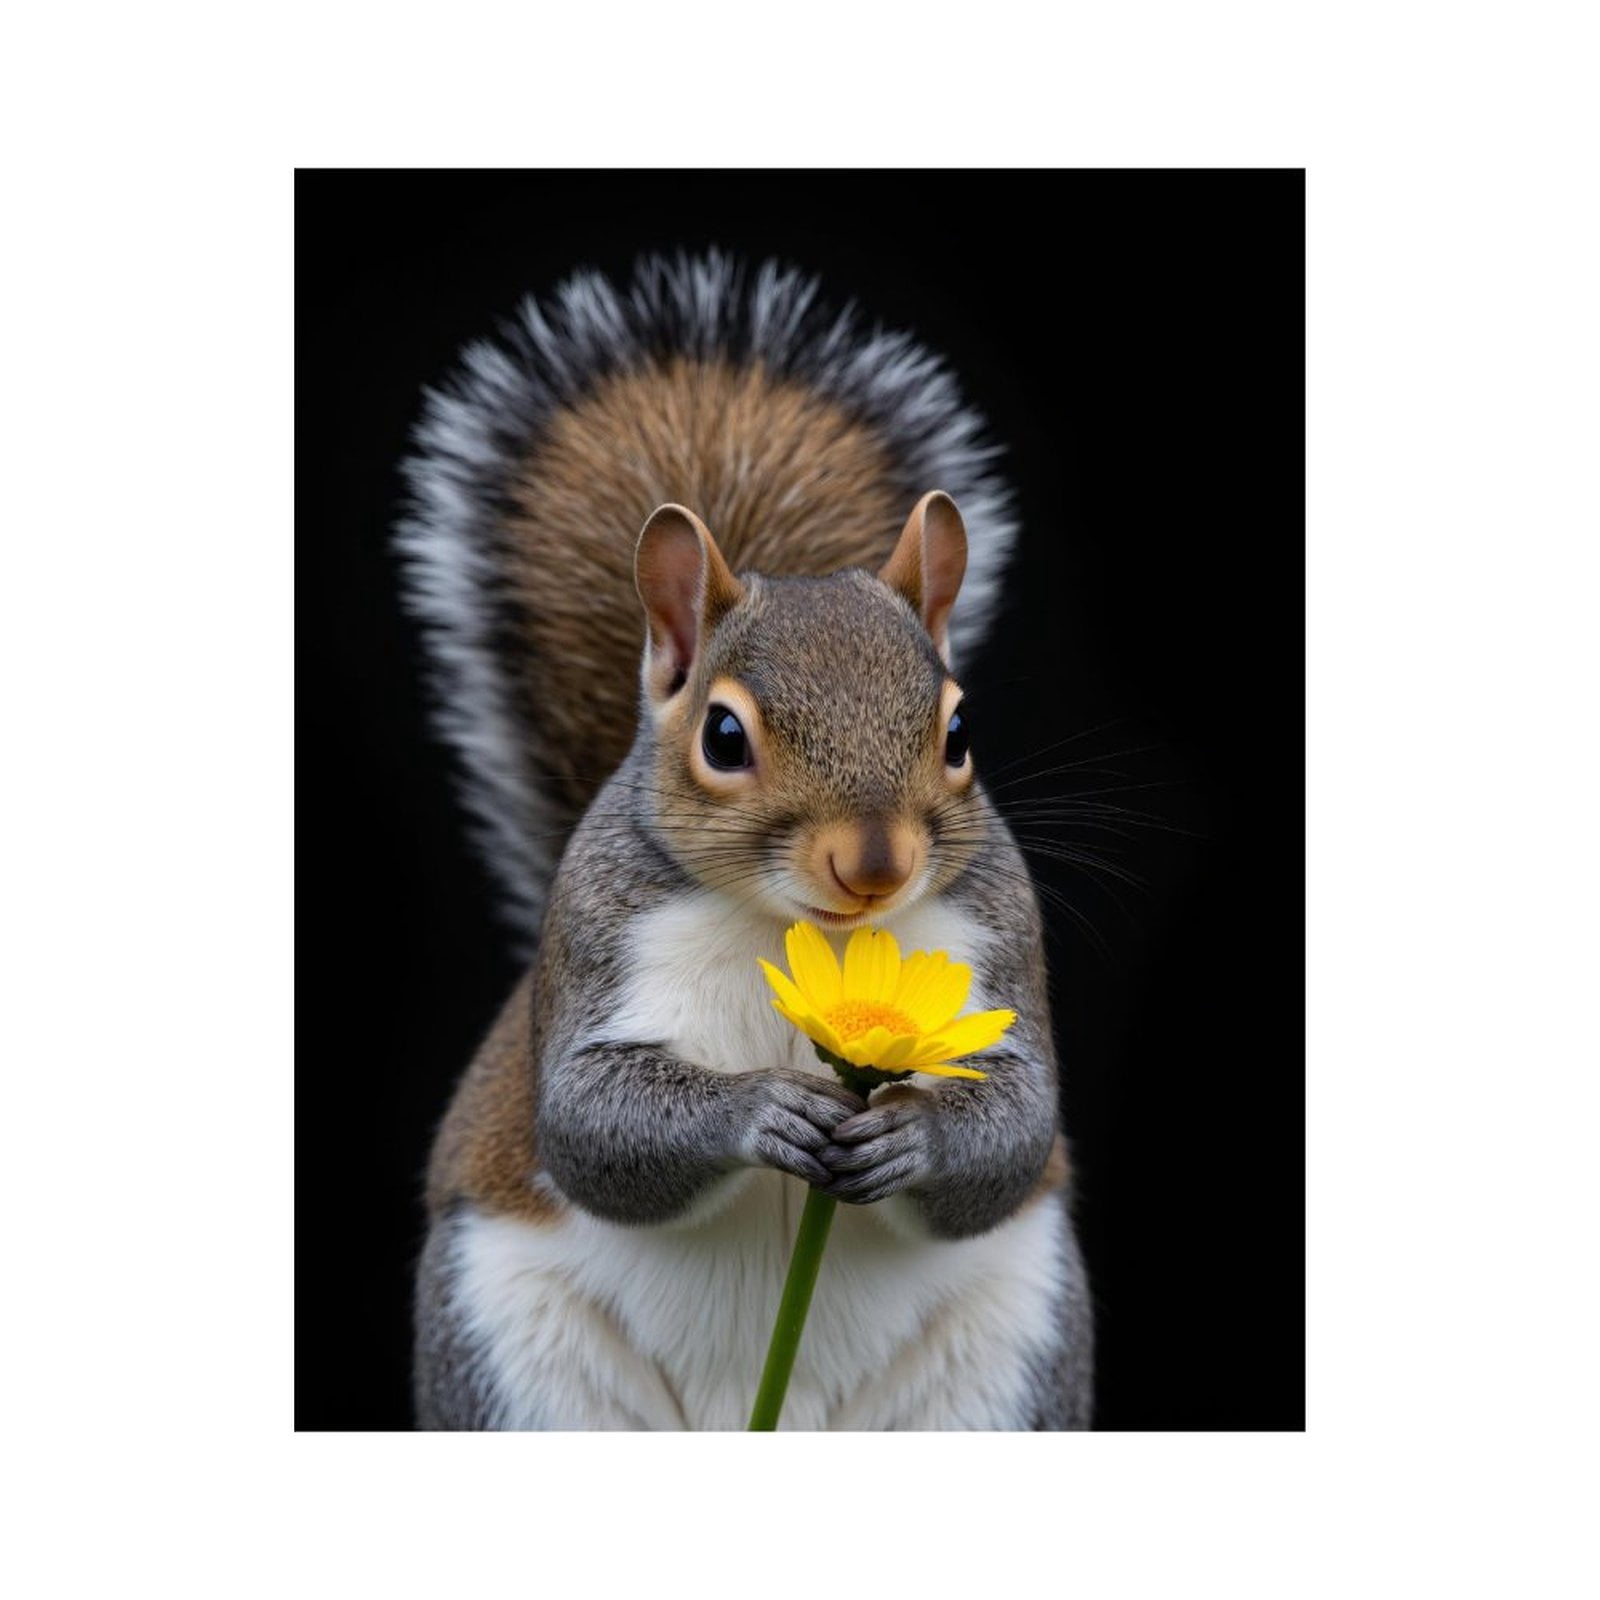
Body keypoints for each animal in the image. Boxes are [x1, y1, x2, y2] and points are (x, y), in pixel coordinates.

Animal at [400, 253, 1093, 1429]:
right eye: (723, 737)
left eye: (959, 731)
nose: (875, 865)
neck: (797, 929)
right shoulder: (593, 942)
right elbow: (587, 1124)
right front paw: (758, 1107)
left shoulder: (1000, 944)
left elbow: (1015, 1128)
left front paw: (913, 1133)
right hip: (513, 1364)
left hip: (1008, 1359)